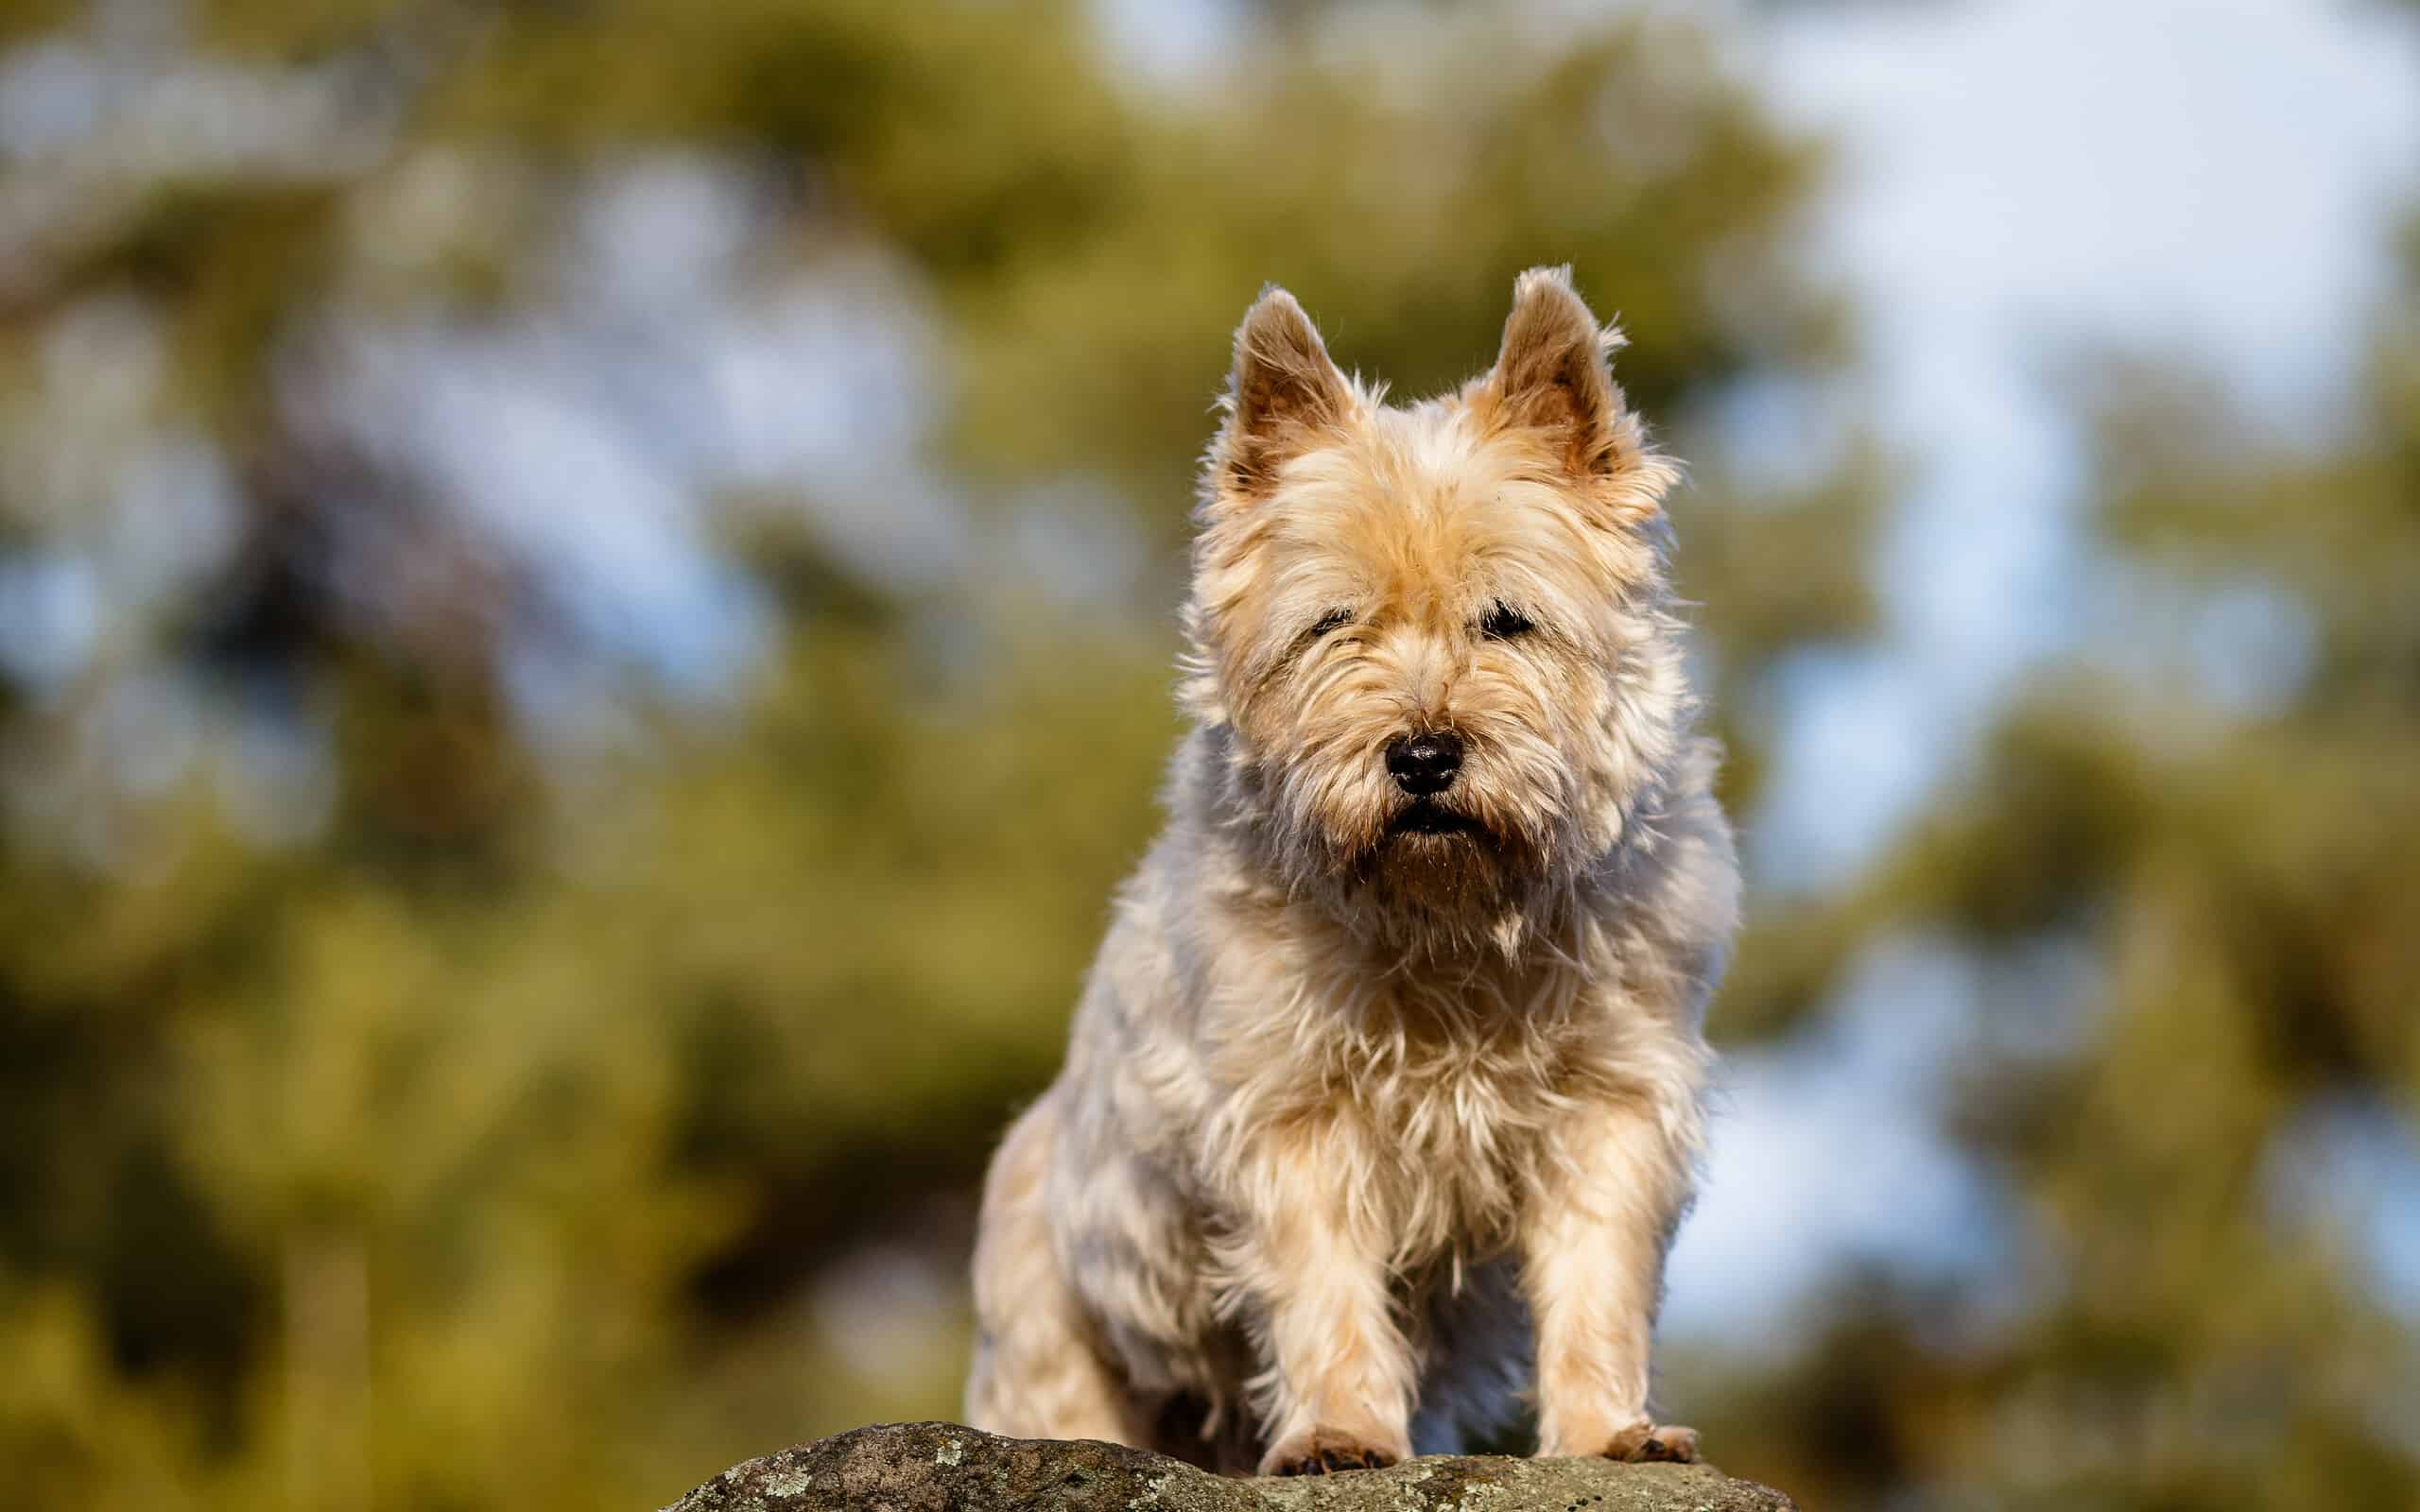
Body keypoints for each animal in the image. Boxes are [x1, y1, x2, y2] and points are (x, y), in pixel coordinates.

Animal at [962, 268, 1742, 1470]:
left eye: (1506, 619)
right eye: (1333, 623)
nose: (1421, 755)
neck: (1449, 918)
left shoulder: (1611, 1101)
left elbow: (1596, 1275)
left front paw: (1610, 1429)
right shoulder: (1292, 1108)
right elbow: (1323, 1277)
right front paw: (1337, 1430)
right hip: (1055, 1334)